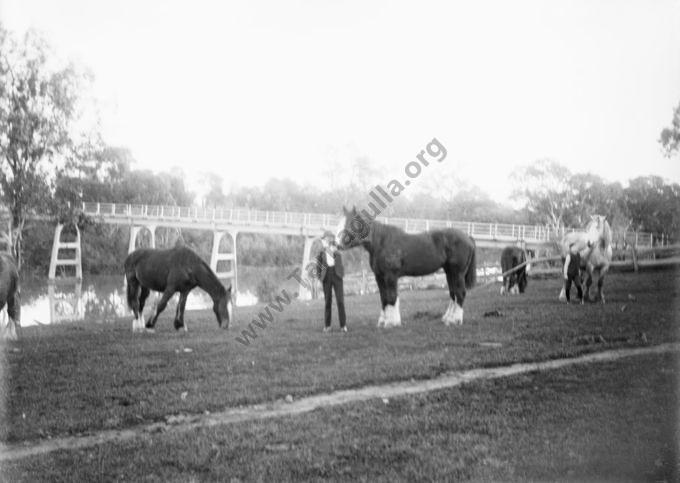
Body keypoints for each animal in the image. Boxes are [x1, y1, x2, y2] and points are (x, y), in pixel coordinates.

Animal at [336, 206, 476, 328]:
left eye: (351, 224)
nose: (337, 244)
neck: (381, 242)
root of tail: (467, 237)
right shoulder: (379, 277)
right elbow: (383, 298)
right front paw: (383, 322)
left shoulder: (390, 276)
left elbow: (391, 297)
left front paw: (391, 323)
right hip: (450, 273)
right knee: (453, 294)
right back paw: (447, 319)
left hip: (458, 273)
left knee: (460, 293)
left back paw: (455, 320)